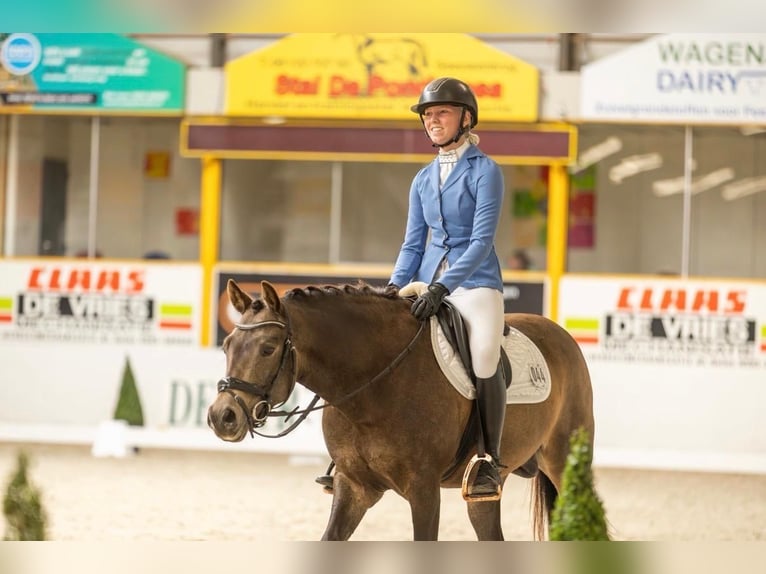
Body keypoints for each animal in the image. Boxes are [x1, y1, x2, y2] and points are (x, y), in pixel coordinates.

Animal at [207, 279, 594, 541]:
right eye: (227, 345)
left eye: (268, 348)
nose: (222, 417)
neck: (373, 389)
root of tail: (561, 334)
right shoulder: (353, 487)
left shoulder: (424, 490)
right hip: (484, 492)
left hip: (565, 461)